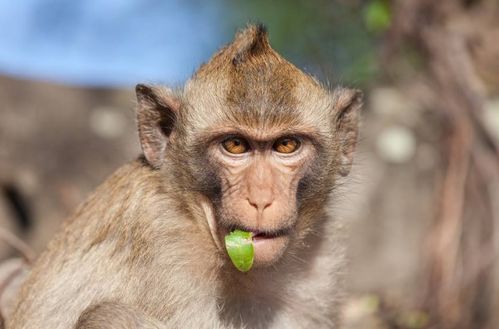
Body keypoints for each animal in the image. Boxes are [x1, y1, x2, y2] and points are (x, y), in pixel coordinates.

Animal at [5, 23, 362, 328]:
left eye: (286, 145)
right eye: (234, 145)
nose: (261, 199)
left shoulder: (318, 263)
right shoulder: (162, 243)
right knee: (110, 316)